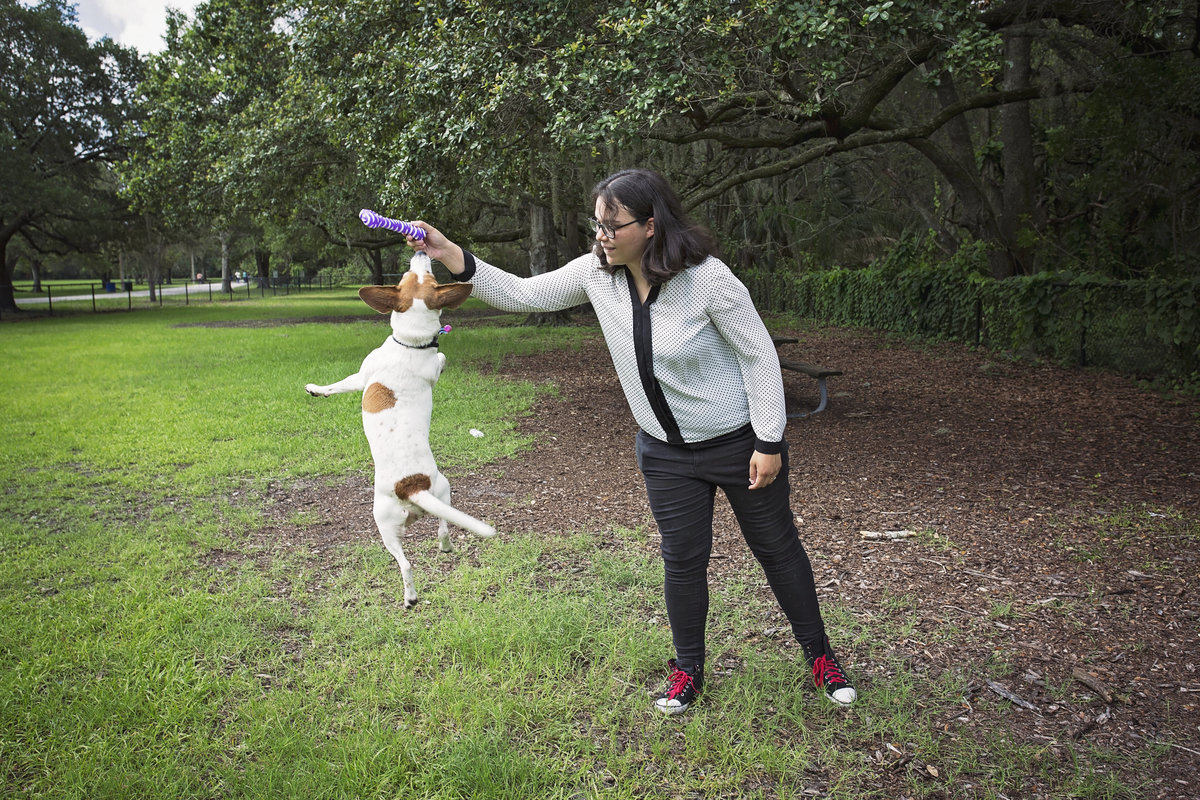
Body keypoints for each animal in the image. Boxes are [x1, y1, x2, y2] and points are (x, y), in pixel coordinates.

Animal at [312, 253, 499, 609]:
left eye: (418, 274)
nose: (421, 253)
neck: (411, 344)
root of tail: (412, 486)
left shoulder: (362, 377)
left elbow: (339, 384)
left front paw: (316, 389)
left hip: (383, 523)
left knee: (406, 563)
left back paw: (410, 596)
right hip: (443, 491)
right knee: (442, 530)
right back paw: (440, 555)